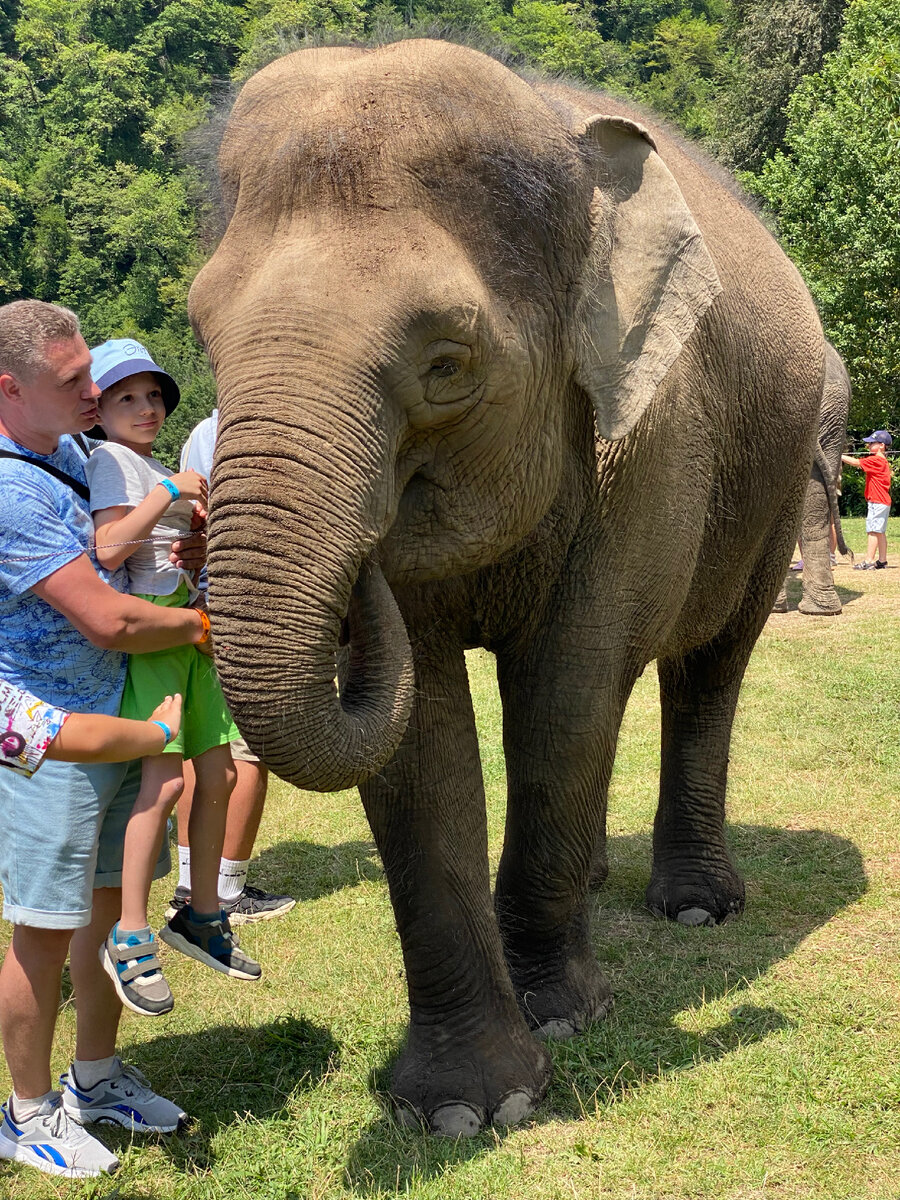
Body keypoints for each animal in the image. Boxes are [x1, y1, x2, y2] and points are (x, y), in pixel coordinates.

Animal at [187, 39, 830, 1132]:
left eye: (447, 363)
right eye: (202, 334)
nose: (365, 564)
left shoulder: (650, 434)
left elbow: (564, 698)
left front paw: (565, 1017)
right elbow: (420, 739)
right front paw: (462, 1109)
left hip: (780, 471)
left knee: (708, 668)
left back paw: (696, 906)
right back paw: (598, 881)